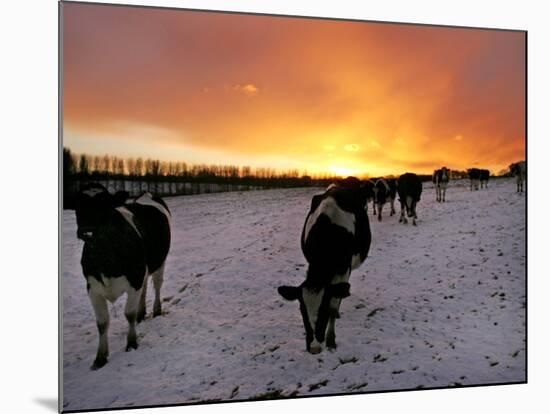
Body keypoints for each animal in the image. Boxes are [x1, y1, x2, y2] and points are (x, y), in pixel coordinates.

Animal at [71, 184, 171, 368]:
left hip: (160, 261)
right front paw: (100, 357)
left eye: (105, 206)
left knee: (157, 284)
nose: (87, 232)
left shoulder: (135, 278)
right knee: (145, 289)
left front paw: (131, 343)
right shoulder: (92, 288)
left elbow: (129, 314)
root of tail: (146, 194)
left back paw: (156, 310)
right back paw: (142, 314)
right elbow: (102, 323)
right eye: (78, 206)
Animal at [278, 176, 374, 354]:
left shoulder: (344, 269)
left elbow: (334, 304)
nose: (314, 347)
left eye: (323, 310)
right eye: (301, 310)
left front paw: (331, 339)